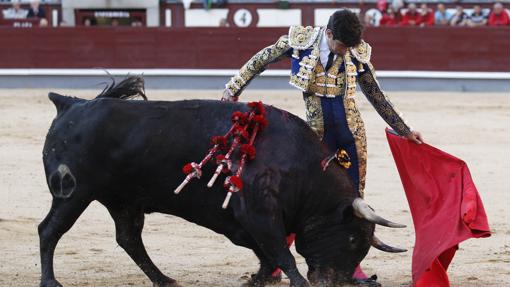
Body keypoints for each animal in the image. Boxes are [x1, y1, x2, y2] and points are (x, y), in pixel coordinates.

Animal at [38, 77, 402, 287]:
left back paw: (164, 279)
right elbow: (280, 252)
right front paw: (296, 282)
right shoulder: (257, 214)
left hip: (124, 200)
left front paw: (257, 280)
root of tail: (71, 104)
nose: (335, 282)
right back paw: (50, 281)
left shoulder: (244, 221)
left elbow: (268, 253)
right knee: (50, 230)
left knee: (129, 239)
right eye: (352, 239)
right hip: (73, 194)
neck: (302, 167)